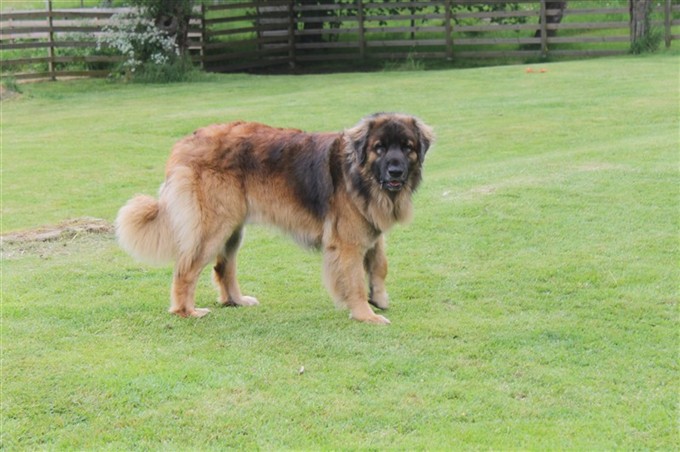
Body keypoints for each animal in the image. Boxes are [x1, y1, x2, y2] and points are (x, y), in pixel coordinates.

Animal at [117, 113, 432, 324]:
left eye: (407, 147)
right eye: (380, 147)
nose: (396, 171)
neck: (358, 172)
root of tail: (186, 142)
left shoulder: (369, 228)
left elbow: (380, 264)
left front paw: (378, 297)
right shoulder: (348, 242)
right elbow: (354, 280)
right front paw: (365, 315)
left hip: (232, 229)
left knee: (224, 267)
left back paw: (236, 301)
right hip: (213, 227)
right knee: (185, 269)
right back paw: (187, 311)